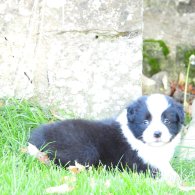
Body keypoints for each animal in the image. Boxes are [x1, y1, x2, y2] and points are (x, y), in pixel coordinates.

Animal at [28, 94, 184, 184]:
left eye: (167, 121)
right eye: (145, 122)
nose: (157, 134)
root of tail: (36, 137)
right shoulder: (138, 161)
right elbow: (161, 171)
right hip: (85, 149)